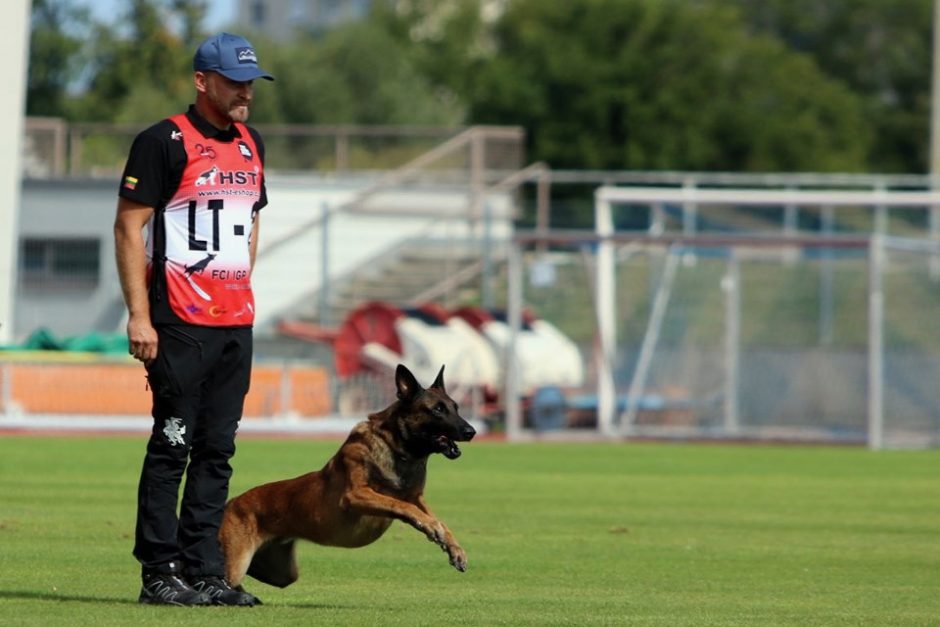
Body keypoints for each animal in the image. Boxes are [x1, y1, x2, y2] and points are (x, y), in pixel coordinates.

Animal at [217, 366, 474, 600]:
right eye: (437, 409)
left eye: (455, 407)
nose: (471, 431)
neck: (395, 447)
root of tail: (231, 503)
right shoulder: (356, 495)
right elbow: (402, 506)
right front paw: (431, 527)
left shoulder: (415, 497)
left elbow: (435, 519)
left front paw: (452, 547)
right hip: (238, 562)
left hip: (281, 573)